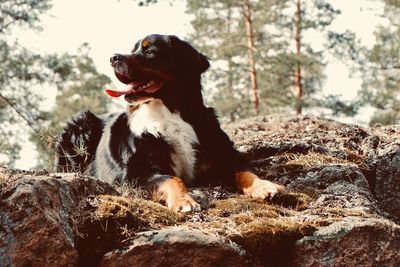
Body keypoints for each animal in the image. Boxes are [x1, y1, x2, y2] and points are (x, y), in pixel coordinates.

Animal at [56, 34, 284, 214]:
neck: (168, 112)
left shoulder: (226, 154)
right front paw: (184, 200)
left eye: (150, 51)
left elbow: (245, 172)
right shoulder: (136, 173)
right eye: (133, 50)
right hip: (81, 123)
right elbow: (171, 178)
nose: (113, 58)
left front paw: (264, 186)